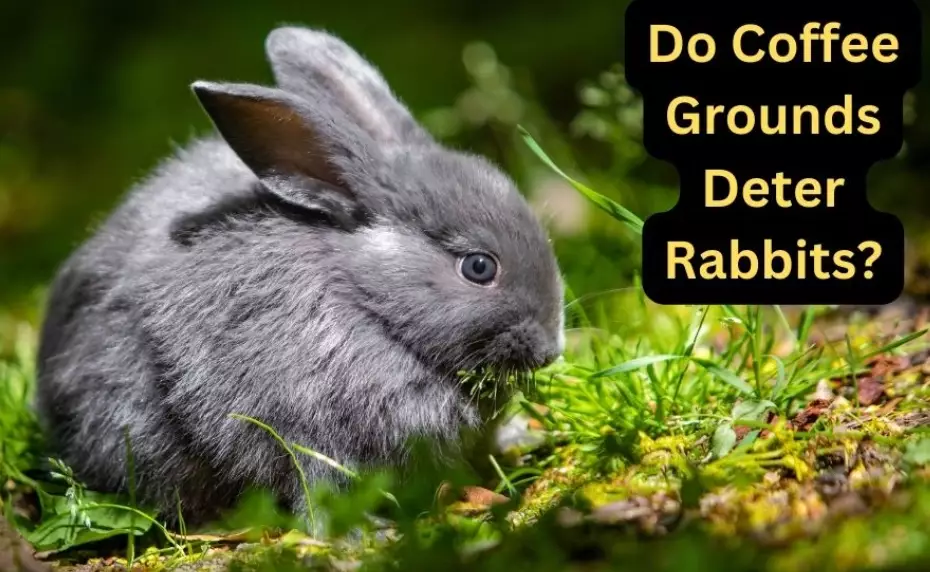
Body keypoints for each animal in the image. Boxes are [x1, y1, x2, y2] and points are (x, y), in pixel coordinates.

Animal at [34, 25, 565, 531]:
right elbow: (315, 488)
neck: (365, 299)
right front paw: (363, 536)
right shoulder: (297, 426)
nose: (550, 351)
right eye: (479, 267)